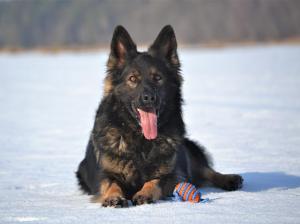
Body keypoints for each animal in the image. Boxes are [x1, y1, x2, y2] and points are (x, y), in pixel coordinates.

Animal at [76, 25, 243, 207]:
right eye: (132, 79)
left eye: (158, 78)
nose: (149, 98)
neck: (140, 140)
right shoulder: (103, 175)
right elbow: (111, 183)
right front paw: (114, 197)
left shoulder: (173, 174)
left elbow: (156, 180)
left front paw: (145, 193)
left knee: (207, 171)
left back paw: (229, 179)